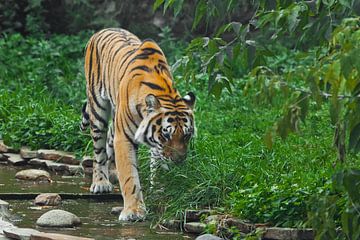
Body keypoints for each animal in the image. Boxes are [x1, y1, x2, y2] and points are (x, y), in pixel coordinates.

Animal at [80, 28, 195, 221]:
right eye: (166, 135)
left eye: (186, 135)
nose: (179, 161)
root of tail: (103, 30)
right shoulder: (124, 138)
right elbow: (130, 177)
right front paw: (133, 211)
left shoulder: (154, 143)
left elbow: (157, 163)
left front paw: (160, 188)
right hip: (98, 109)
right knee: (99, 150)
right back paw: (101, 182)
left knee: (109, 138)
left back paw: (112, 173)